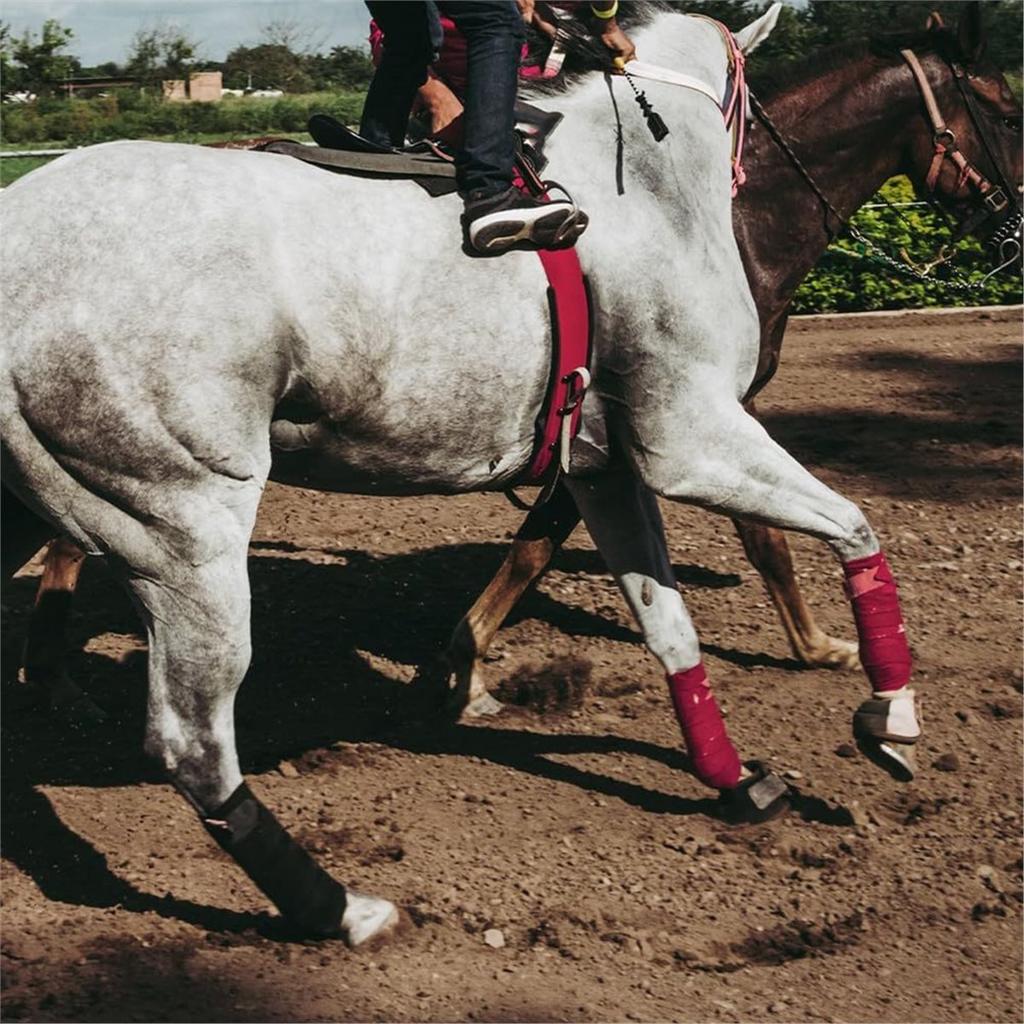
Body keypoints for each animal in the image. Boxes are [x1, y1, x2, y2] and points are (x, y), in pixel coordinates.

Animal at [0, 5, 1012, 943]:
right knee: (192, 744)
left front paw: (733, 780)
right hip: (186, 528)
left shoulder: (606, 467)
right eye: (1002, 104)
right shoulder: (692, 437)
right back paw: (336, 907)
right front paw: (887, 709)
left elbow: (668, 628)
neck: (649, 186)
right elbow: (847, 530)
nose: (1010, 223)